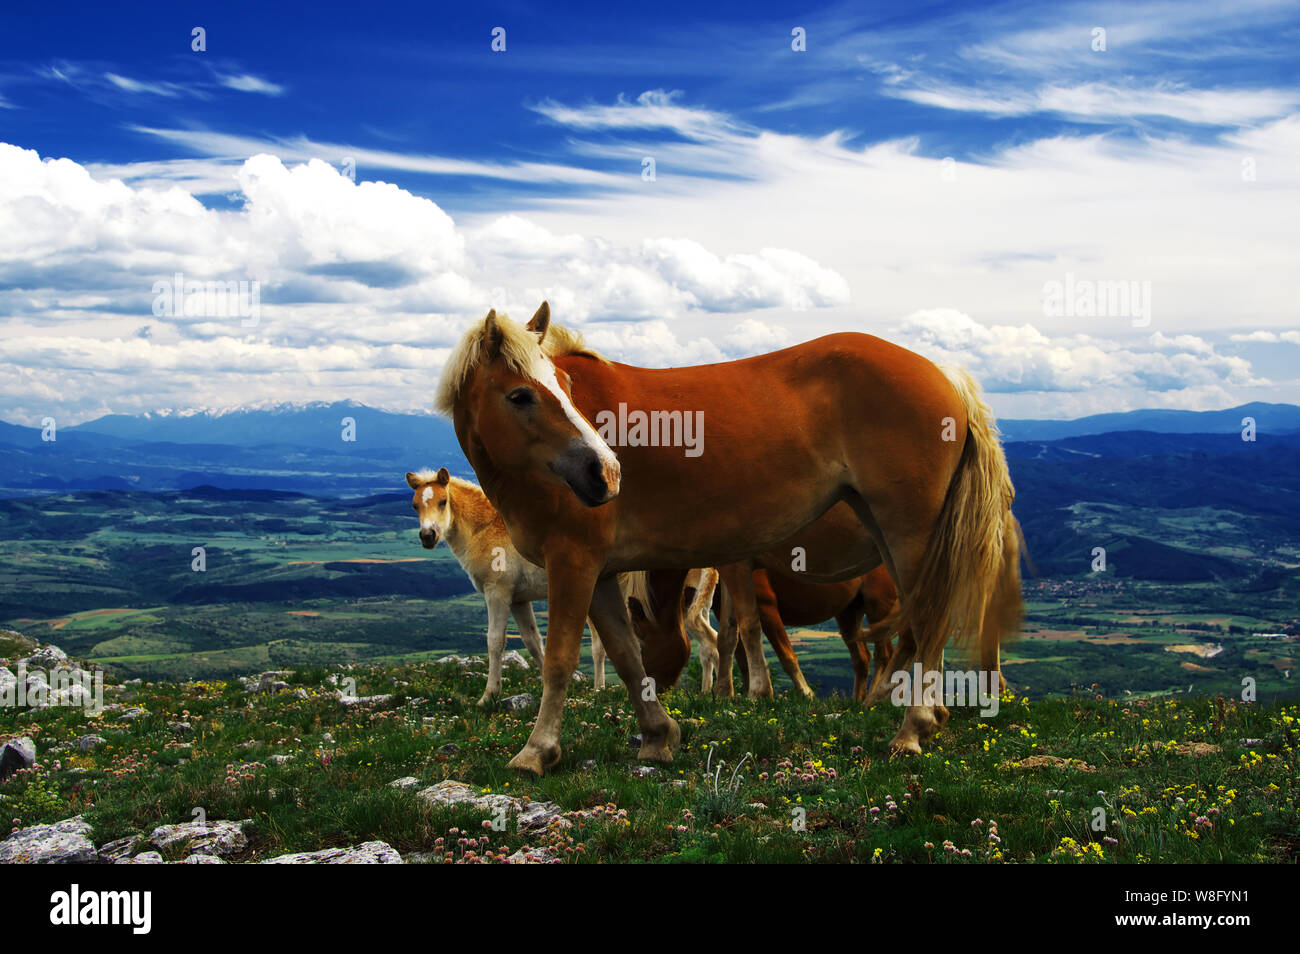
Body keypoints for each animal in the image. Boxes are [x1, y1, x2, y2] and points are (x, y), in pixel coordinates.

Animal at [405, 467, 608, 707]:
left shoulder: (497, 593)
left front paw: (488, 696)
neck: (484, 529)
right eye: (415, 505)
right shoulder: (519, 600)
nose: (428, 536)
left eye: (443, 501)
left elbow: (495, 641)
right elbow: (532, 640)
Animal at [441, 306, 1019, 779]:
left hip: (910, 535)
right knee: (920, 622)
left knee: (925, 622)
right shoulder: (600, 574)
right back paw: (930, 715)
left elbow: (560, 659)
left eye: (562, 384)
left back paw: (912, 728)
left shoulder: (573, 563)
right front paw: (658, 737)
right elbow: (626, 655)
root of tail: (944, 374)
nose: (605, 473)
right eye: (520, 394)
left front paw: (537, 751)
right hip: (894, 537)